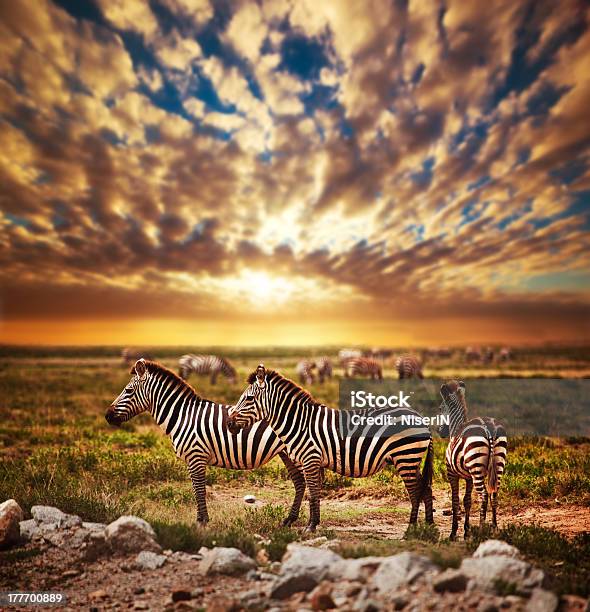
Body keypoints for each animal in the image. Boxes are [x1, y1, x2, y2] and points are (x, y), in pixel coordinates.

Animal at [106, 358, 308, 524]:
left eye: (128, 390)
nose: (107, 416)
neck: (182, 416)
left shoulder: (196, 456)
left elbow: (199, 489)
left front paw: (202, 521)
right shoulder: (194, 459)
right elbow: (198, 489)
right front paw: (202, 519)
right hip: (286, 453)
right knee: (300, 482)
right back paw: (290, 519)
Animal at [229, 366, 438, 532]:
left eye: (248, 398)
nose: (229, 424)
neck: (299, 423)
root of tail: (421, 418)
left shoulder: (310, 459)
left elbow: (313, 493)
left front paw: (310, 527)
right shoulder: (310, 461)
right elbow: (313, 492)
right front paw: (313, 523)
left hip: (405, 457)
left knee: (415, 492)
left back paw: (411, 529)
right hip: (411, 459)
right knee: (426, 489)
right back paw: (428, 526)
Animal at [440, 380, 508, 544]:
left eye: (440, 409)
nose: (440, 432)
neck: (456, 427)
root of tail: (489, 428)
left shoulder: (452, 473)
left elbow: (455, 500)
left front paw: (453, 533)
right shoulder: (468, 477)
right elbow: (467, 501)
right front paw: (466, 532)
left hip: (476, 467)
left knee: (484, 495)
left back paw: (482, 529)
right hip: (498, 465)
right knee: (494, 494)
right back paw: (494, 528)